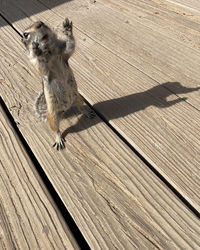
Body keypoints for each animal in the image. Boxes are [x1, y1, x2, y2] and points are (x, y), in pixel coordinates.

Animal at [22, 18, 94, 150]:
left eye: (41, 22)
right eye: (25, 34)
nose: (40, 25)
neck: (48, 51)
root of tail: (66, 108)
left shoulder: (63, 54)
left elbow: (70, 45)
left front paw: (67, 28)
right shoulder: (42, 68)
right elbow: (39, 63)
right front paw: (35, 48)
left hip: (78, 98)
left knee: (80, 107)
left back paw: (86, 112)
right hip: (53, 116)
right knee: (56, 129)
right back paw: (58, 139)